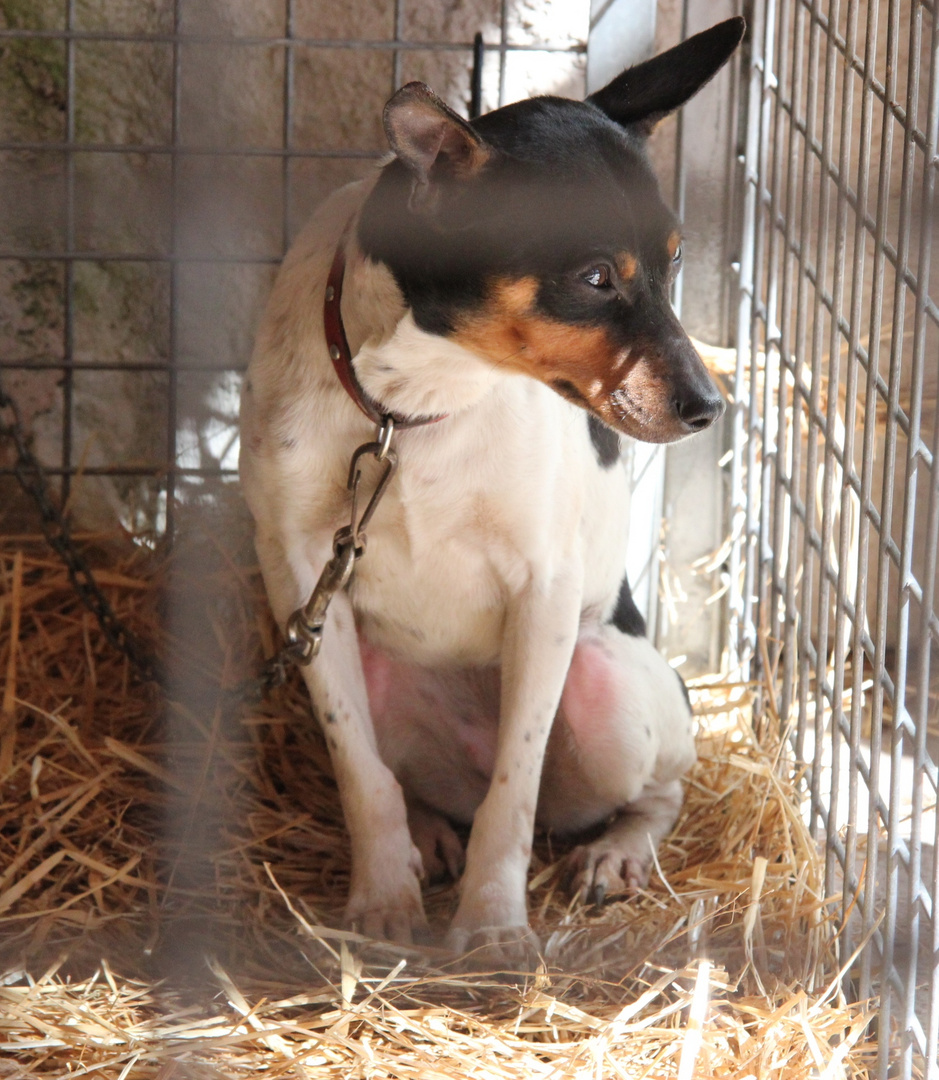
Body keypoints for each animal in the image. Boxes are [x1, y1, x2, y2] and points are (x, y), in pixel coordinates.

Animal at [242, 19, 747, 963]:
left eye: (675, 263)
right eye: (594, 278)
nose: (709, 407)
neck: (415, 406)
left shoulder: (541, 590)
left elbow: (513, 795)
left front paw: (491, 927)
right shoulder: (300, 578)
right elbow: (361, 774)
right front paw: (383, 899)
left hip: (604, 683)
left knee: (644, 791)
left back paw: (616, 854)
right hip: (377, 666)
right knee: (415, 782)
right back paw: (428, 834)